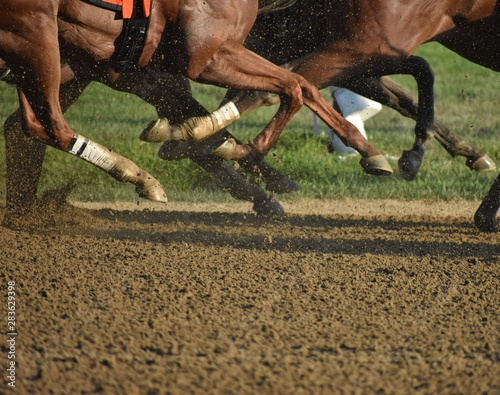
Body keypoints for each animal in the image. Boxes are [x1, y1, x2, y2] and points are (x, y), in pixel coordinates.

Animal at [0, 0, 390, 220]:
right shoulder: (202, 55)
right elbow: (293, 87)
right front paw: (228, 145)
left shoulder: (112, 63)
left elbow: (300, 86)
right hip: (37, 35)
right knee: (49, 126)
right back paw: (139, 176)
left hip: (40, 52)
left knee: (31, 125)